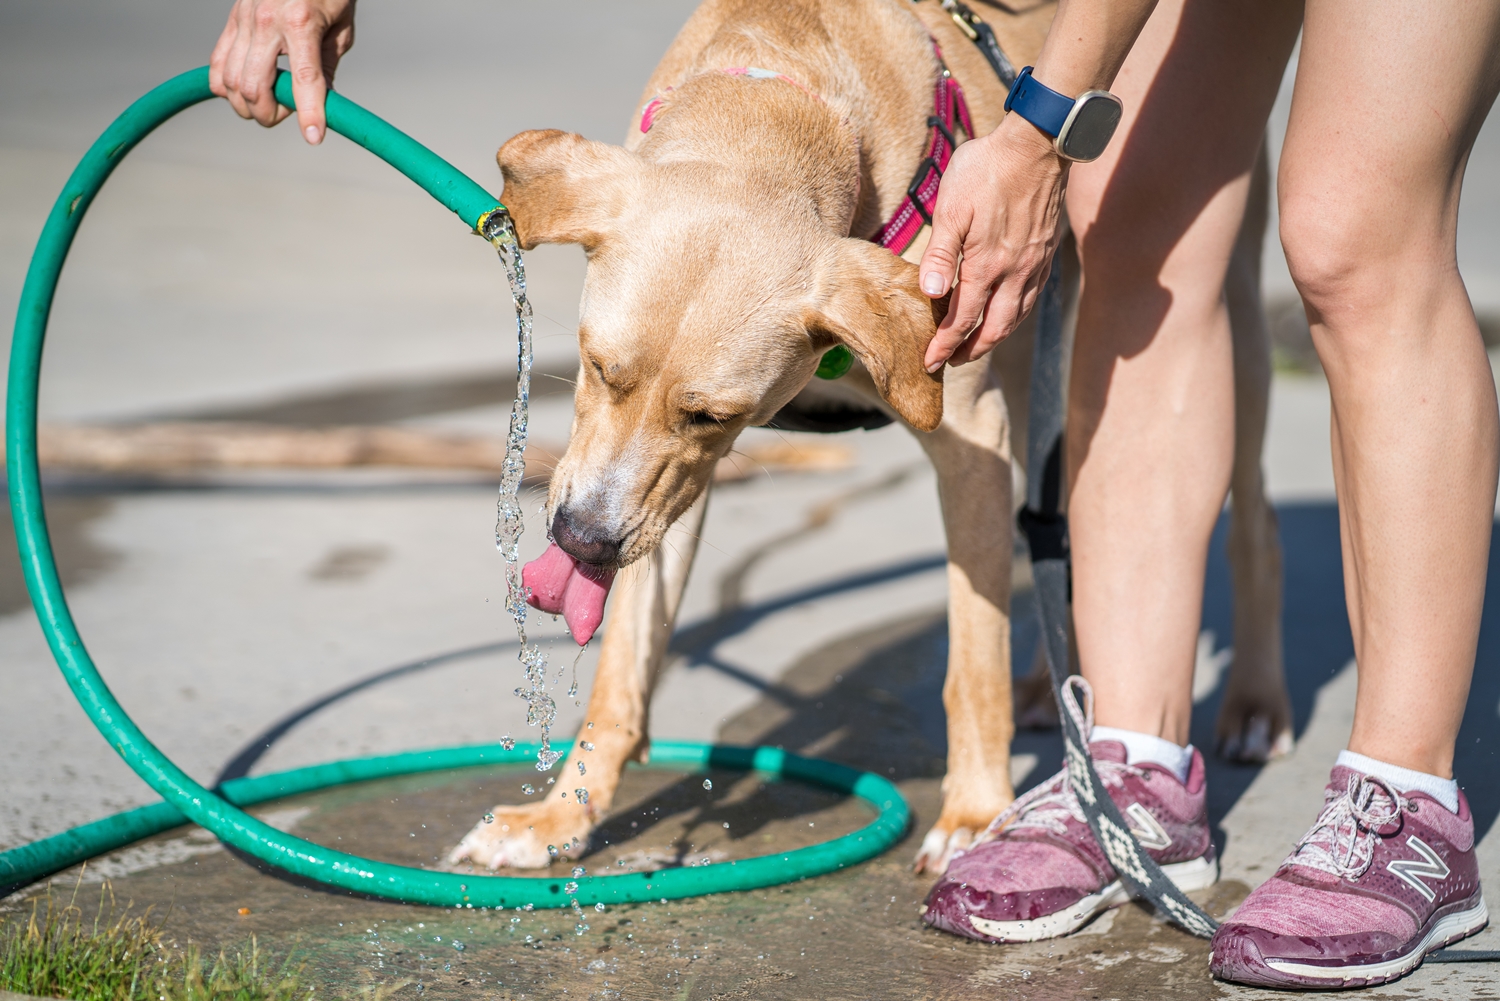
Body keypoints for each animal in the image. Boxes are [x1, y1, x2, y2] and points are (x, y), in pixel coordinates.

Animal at [444, 0, 1290, 876]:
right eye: (597, 366)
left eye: (713, 415)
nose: (580, 541)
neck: (784, 93)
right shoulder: (660, 492)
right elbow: (622, 672)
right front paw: (560, 815)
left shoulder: (969, 438)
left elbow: (971, 660)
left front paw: (974, 812)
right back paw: (1048, 690)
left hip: (1212, 314)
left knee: (1251, 518)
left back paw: (1255, 702)